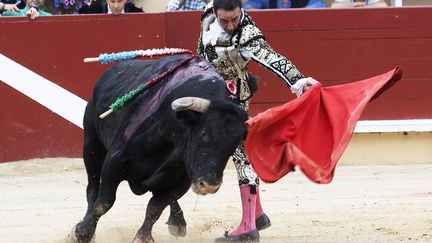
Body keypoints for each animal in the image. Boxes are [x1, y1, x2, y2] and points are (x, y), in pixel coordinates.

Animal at [69, 54, 248, 243]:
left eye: (235, 143)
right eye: (204, 133)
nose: (209, 185)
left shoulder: (182, 180)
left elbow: (155, 207)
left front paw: (143, 237)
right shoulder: (115, 158)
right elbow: (103, 203)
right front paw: (82, 232)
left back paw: (178, 221)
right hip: (92, 145)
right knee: (93, 188)